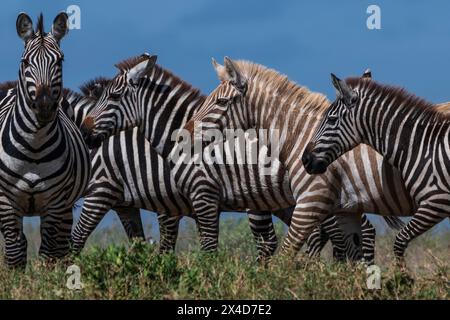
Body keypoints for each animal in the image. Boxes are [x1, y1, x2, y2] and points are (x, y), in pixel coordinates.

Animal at [0, 13, 90, 268]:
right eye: (25, 62)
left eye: (60, 61)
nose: (44, 107)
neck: (34, 146)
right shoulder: (6, 201)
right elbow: (14, 251)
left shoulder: (56, 202)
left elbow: (49, 253)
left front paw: (47, 278)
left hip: (67, 206)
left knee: (60, 246)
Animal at [300, 74, 450, 266]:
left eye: (332, 119)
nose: (305, 160)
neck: (422, 147)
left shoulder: (436, 202)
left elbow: (400, 241)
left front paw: (401, 273)